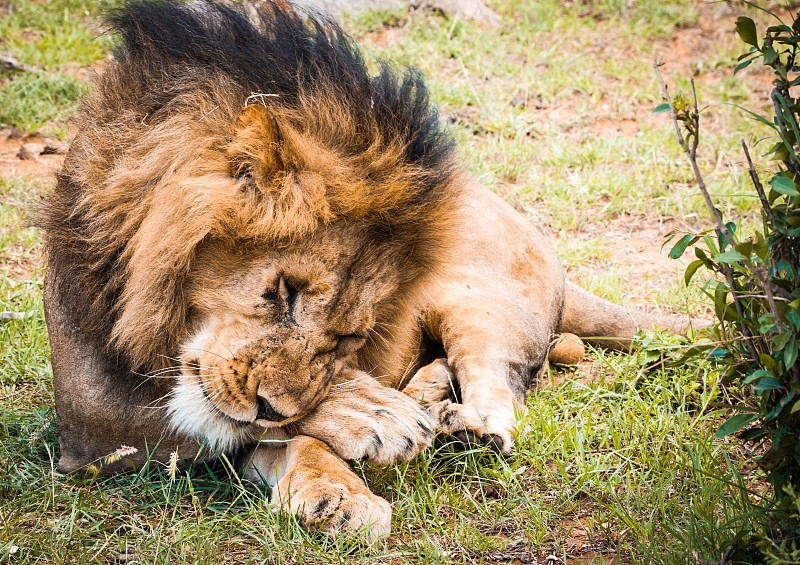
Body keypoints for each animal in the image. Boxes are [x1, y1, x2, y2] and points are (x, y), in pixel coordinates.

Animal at [40, 0, 696, 536]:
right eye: (282, 292)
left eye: (350, 337)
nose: (269, 406)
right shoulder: (91, 421)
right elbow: (257, 426)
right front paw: (357, 441)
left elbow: (285, 426)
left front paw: (349, 458)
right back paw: (428, 402)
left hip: (480, 304)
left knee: (506, 392)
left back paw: (468, 426)